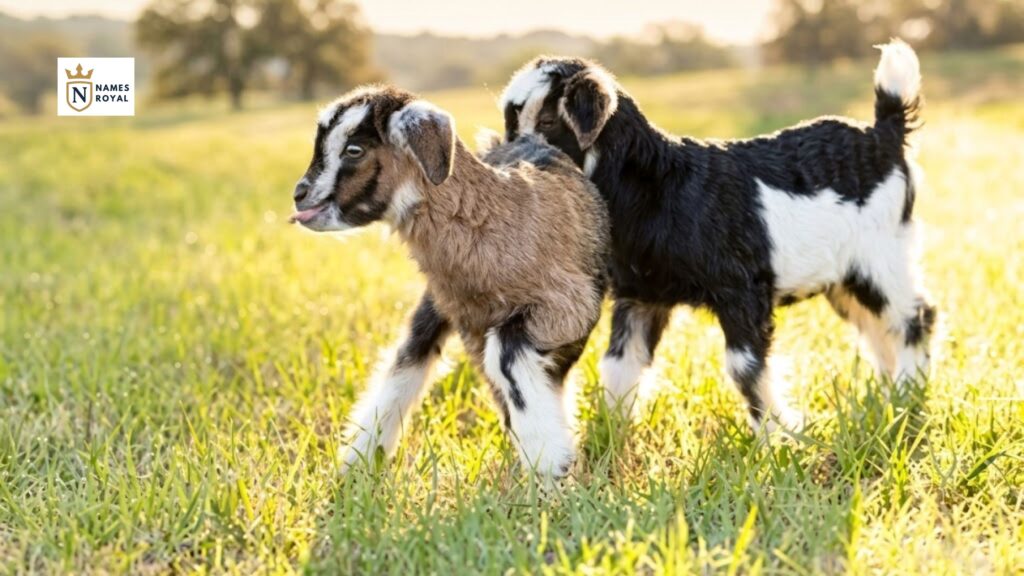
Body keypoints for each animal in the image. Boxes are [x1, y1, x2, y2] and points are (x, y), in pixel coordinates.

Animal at [290, 85, 608, 476]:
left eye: (354, 150)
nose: (299, 194)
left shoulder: (568, 308)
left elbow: (509, 360)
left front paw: (552, 471)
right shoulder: (443, 308)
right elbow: (404, 365)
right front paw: (356, 466)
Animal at [496, 40, 936, 430]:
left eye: (548, 122)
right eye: (510, 126)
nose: (514, 167)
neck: (661, 183)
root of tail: (884, 133)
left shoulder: (743, 289)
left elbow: (745, 366)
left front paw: (777, 436)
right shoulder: (641, 297)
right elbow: (619, 363)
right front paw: (611, 432)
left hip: (882, 251)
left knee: (914, 316)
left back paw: (908, 393)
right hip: (844, 276)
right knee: (876, 323)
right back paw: (888, 396)